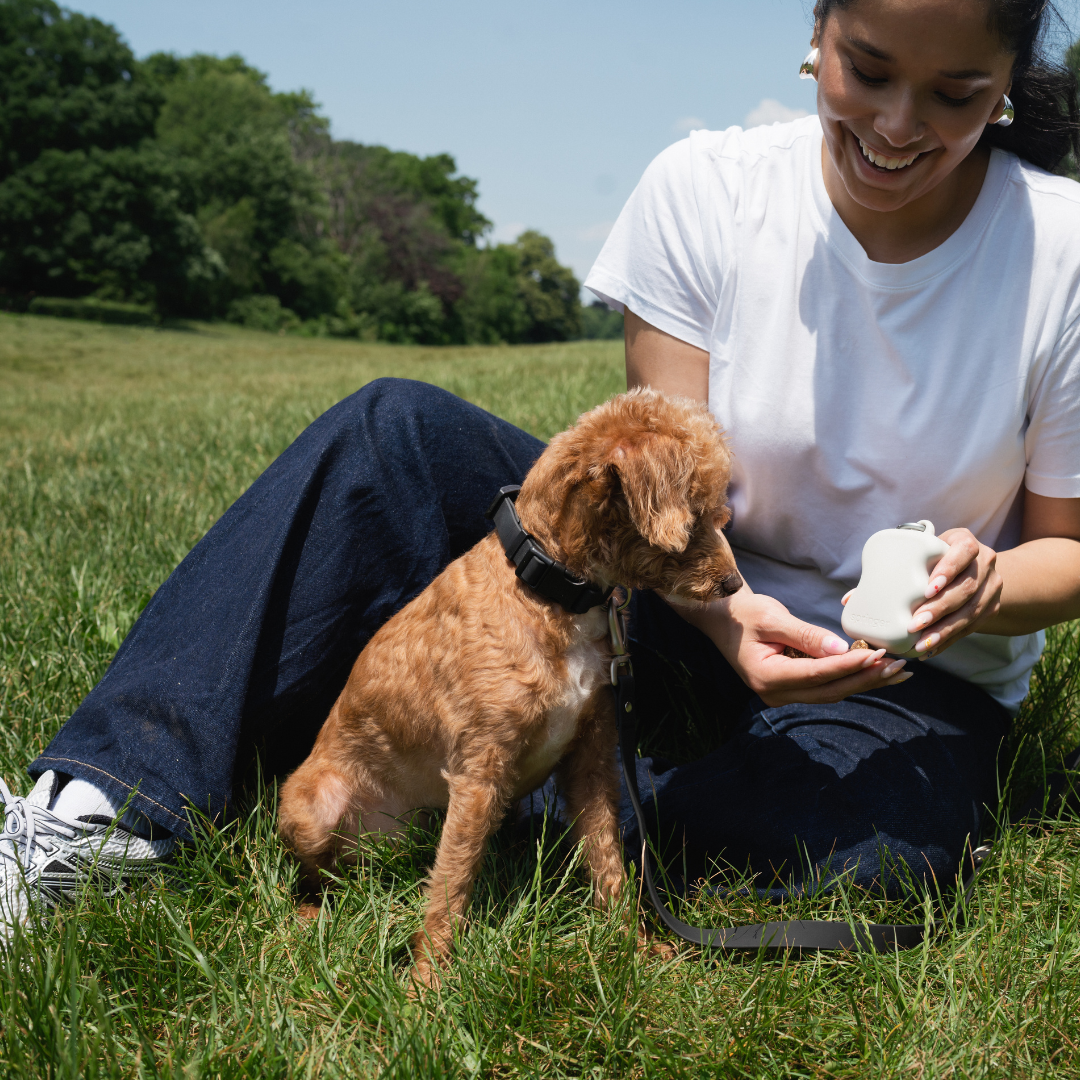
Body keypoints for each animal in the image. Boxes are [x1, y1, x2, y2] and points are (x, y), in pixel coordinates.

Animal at [276, 390, 743, 989]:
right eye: (697, 514)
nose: (734, 584)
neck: (551, 592)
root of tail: (380, 845)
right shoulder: (480, 769)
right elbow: (452, 885)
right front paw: (428, 983)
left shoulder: (591, 758)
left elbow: (607, 860)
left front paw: (632, 947)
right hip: (313, 811)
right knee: (324, 875)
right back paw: (311, 915)